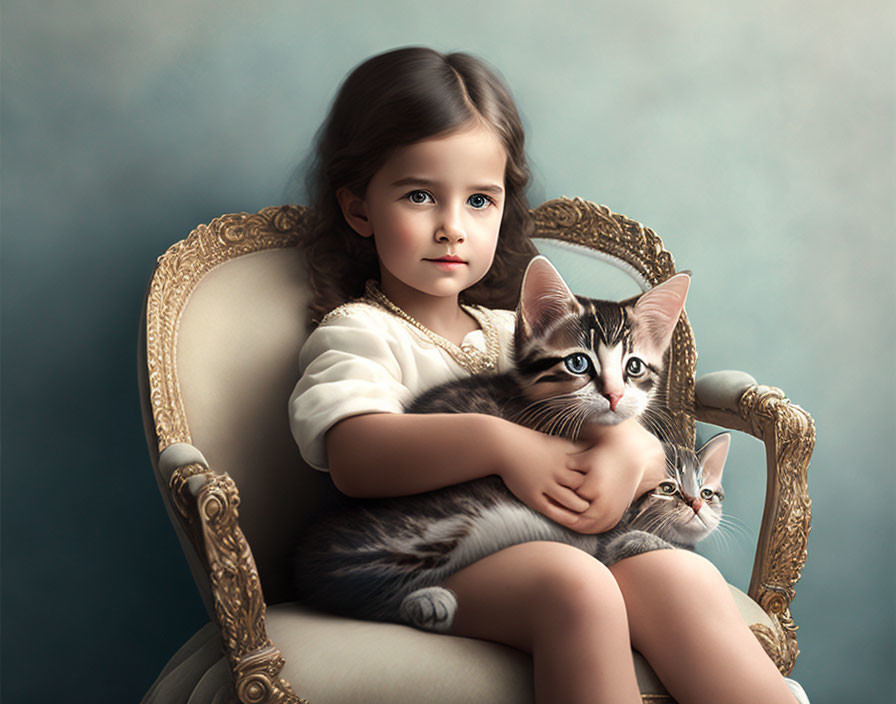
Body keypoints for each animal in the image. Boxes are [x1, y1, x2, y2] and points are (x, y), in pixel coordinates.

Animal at [294, 258, 728, 632]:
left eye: (634, 367)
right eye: (578, 363)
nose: (615, 396)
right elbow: (628, 537)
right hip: (433, 526)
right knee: (340, 578)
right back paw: (424, 600)